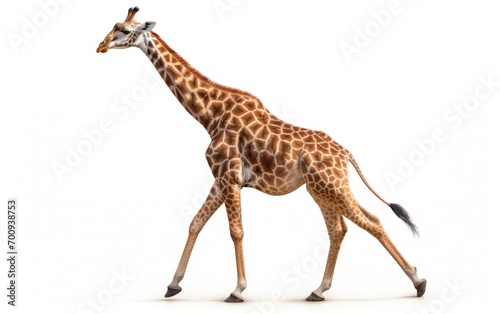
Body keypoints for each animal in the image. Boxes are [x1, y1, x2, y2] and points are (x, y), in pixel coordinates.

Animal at [96, 6, 426, 302]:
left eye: (124, 30)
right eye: (113, 26)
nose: (100, 46)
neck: (209, 115)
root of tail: (345, 152)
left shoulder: (229, 177)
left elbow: (236, 231)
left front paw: (237, 290)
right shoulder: (221, 179)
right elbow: (195, 222)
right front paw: (173, 285)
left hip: (332, 185)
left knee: (372, 221)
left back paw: (418, 281)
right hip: (319, 190)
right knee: (338, 229)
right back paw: (318, 290)